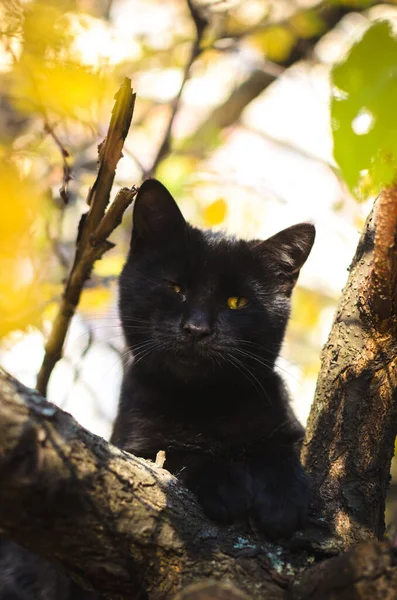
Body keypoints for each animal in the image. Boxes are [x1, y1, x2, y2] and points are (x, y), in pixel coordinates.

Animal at [112, 178, 316, 540]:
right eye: (175, 287)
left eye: (236, 302)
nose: (197, 328)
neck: (207, 403)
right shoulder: (136, 447)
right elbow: (180, 453)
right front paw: (223, 484)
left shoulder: (286, 424)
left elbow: (276, 447)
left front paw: (282, 498)